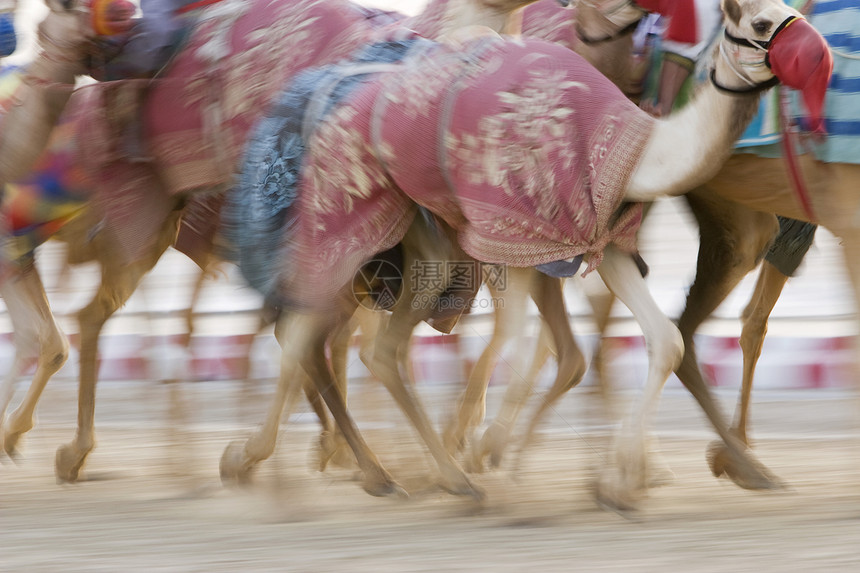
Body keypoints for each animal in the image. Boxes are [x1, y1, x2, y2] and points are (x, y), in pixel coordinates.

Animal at [218, 0, 828, 510]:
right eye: (760, 23)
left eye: (792, 9)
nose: (819, 58)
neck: (634, 150)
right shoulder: (512, 241)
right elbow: (527, 344)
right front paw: (501, 461)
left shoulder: (598, 242)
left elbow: (661, 340)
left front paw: (616, 481)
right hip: (371, 230)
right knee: (345, 338)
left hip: (385, 254)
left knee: (325, 335)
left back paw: (359, 471)